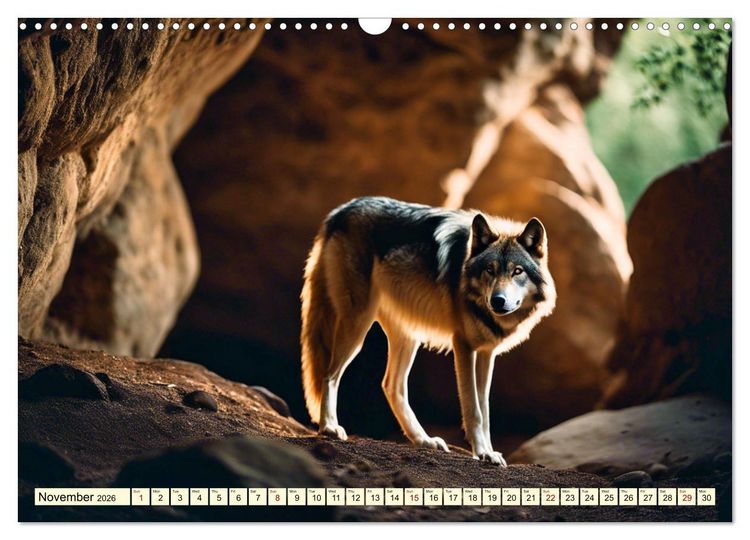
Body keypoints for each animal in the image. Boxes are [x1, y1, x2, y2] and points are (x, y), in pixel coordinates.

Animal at [300, 196, 556, 466]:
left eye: (517, 271)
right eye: (490, 270)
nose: (497, 301)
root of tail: (341, 210)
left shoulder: (487, 353)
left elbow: (485, 411)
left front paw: (489, 451)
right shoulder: (463, 346)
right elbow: (473, 410)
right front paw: (483, 452)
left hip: (407, 337)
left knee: (391, 385)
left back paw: (424, 440)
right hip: (357, 324)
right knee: (329, 375)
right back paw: (329, 427)